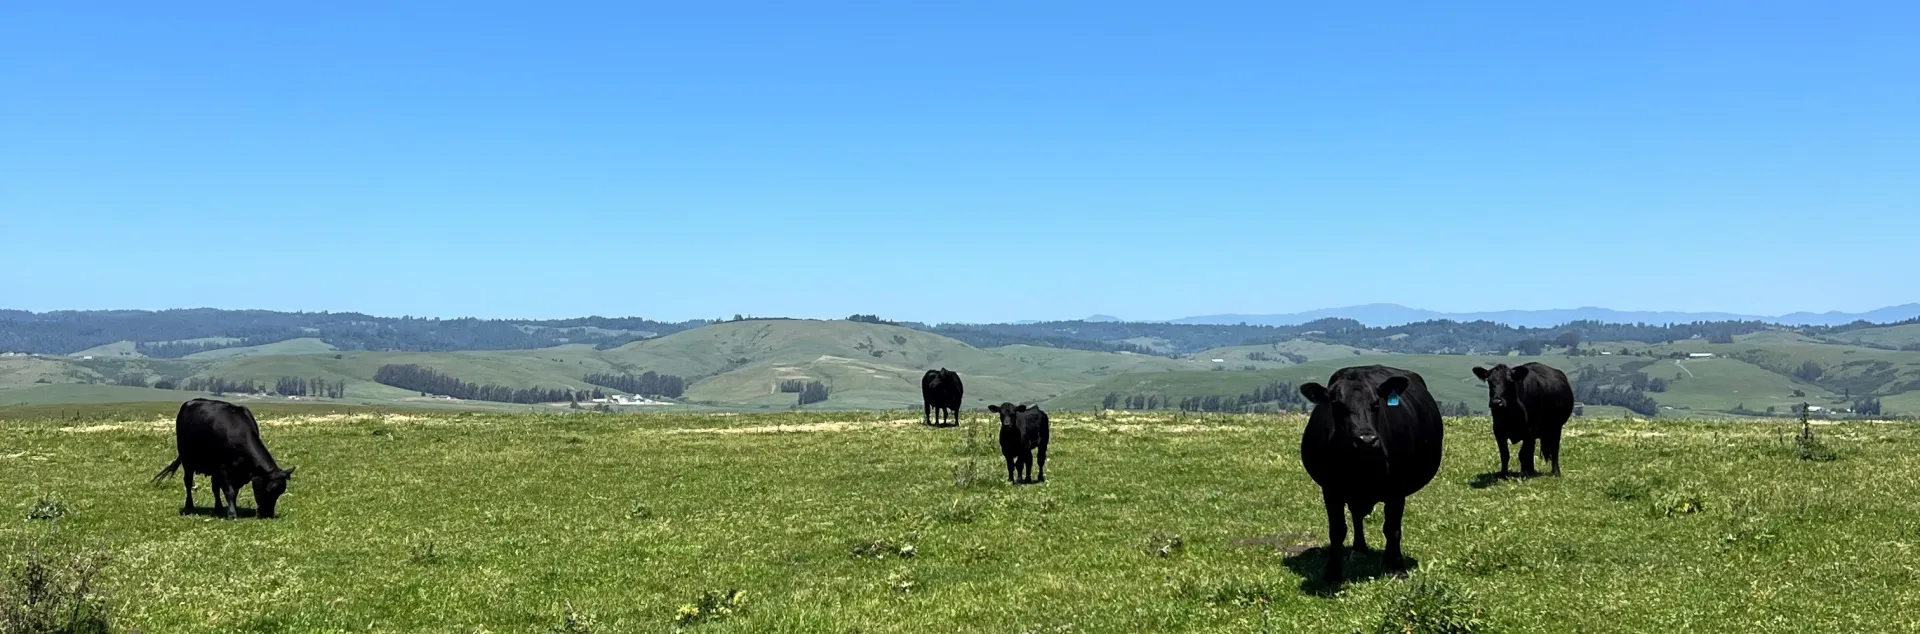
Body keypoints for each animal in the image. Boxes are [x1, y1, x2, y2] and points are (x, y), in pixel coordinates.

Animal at [151, 398, 295, 519]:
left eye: (280, 493)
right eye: (268, 490)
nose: (268, 514)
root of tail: (189, 403)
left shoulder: (236, 473)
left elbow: (233, 491)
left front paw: (233, 508)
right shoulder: (223, 468)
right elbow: (229, 491)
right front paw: (232, 514)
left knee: (214, 488)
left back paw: (218, 507)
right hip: (187, 461)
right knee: (188, 482)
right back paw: (189, 506)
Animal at [1298, 365, 1444, 585]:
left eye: (1376, 404)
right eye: (1338, 405)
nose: (1366, 439)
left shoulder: (1397, 489)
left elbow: (1392, 528)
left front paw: (1397, 568)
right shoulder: (1331, 490)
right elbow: (1337, 530)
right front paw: (1332, 574)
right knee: (1357, 516)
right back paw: (1359, 550)